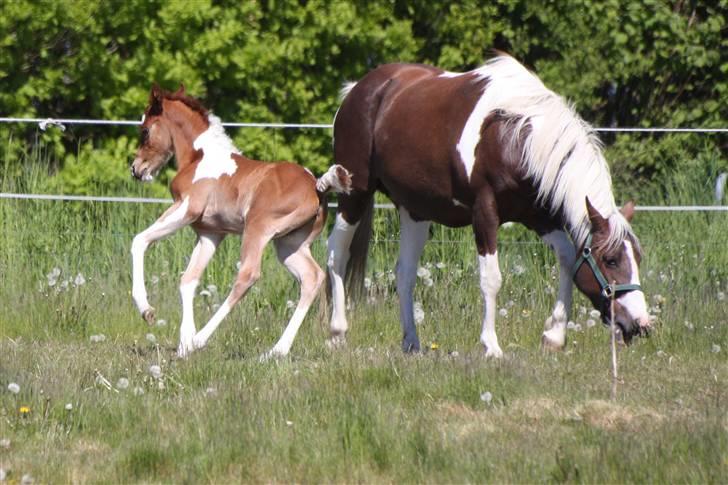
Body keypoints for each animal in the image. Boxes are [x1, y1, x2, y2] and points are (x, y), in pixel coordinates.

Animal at [132, 83, 352, 358]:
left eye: (145, 130)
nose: (136, 169)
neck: (200, 157)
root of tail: (317, 186)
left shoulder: (186, 208)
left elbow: (140, 240)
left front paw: (148, 311)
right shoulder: (209, 233)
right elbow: (188, 280)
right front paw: (183, 345)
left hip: (257, 230)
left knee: (247, 276)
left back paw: (202, 338)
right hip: (289, 245)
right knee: (312, 277)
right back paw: (276, 351)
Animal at [328, 54, 652, 356]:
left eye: (637, 257)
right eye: (611, 260)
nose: (641, 324)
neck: (516, 136)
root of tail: (358, 89)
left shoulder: (539, 217)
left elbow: (567, 258)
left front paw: (554, 335)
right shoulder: (484, 214)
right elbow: (491, 279)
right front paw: (491, 345)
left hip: (415, 211)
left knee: (405, 273)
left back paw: (411, 342)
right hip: (354, 195)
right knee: (336, 253)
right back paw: (337, 332)